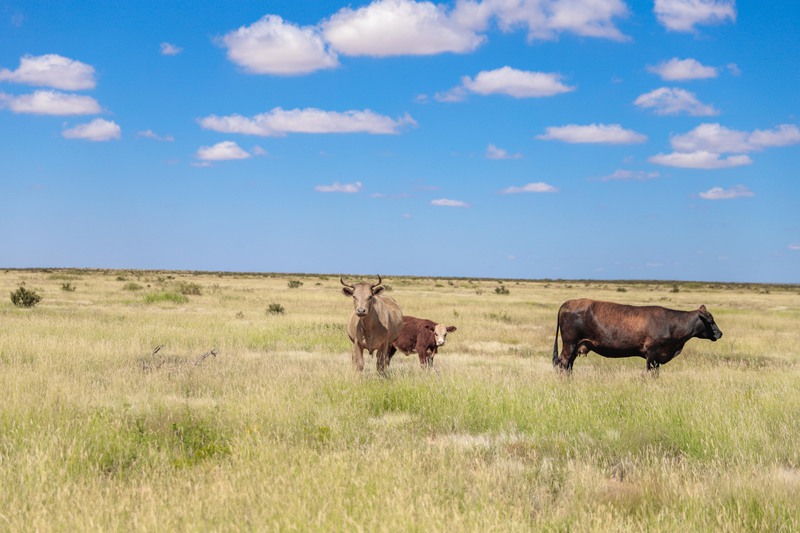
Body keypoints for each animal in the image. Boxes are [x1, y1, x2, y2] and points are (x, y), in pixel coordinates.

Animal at [552, 298, 720, 372]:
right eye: (710, 320)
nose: (720, 333)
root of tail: (567, 303)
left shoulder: (657, 358)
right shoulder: (652, 354)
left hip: (575, 347)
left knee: (569, 365)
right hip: (570, 343)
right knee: (563, 363)